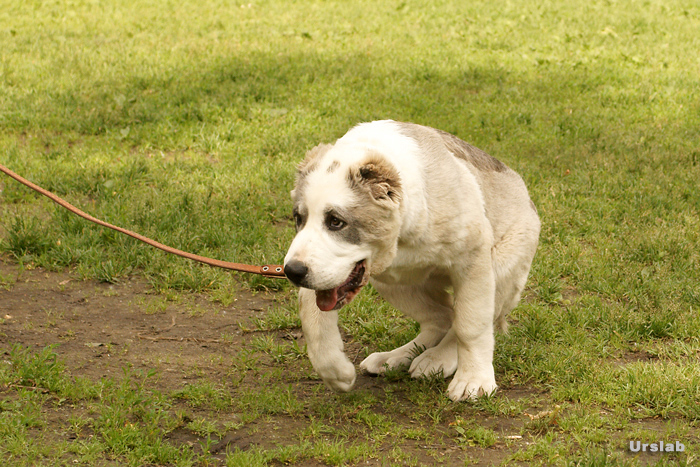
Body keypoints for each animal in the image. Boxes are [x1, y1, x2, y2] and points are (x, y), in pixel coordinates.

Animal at [282, 120, 540, 402]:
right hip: (393, 284)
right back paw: (396, 358)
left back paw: (437, 358)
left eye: (336, 222)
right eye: (299, 218)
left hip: (502, 265)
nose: (292, 271)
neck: (401, 238)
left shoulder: (473, 259)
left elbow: (470, 325)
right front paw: (334, 371)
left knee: (462, 318)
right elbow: (312, 316)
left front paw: (474, 380)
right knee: (441, 316)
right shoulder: (319, 267)